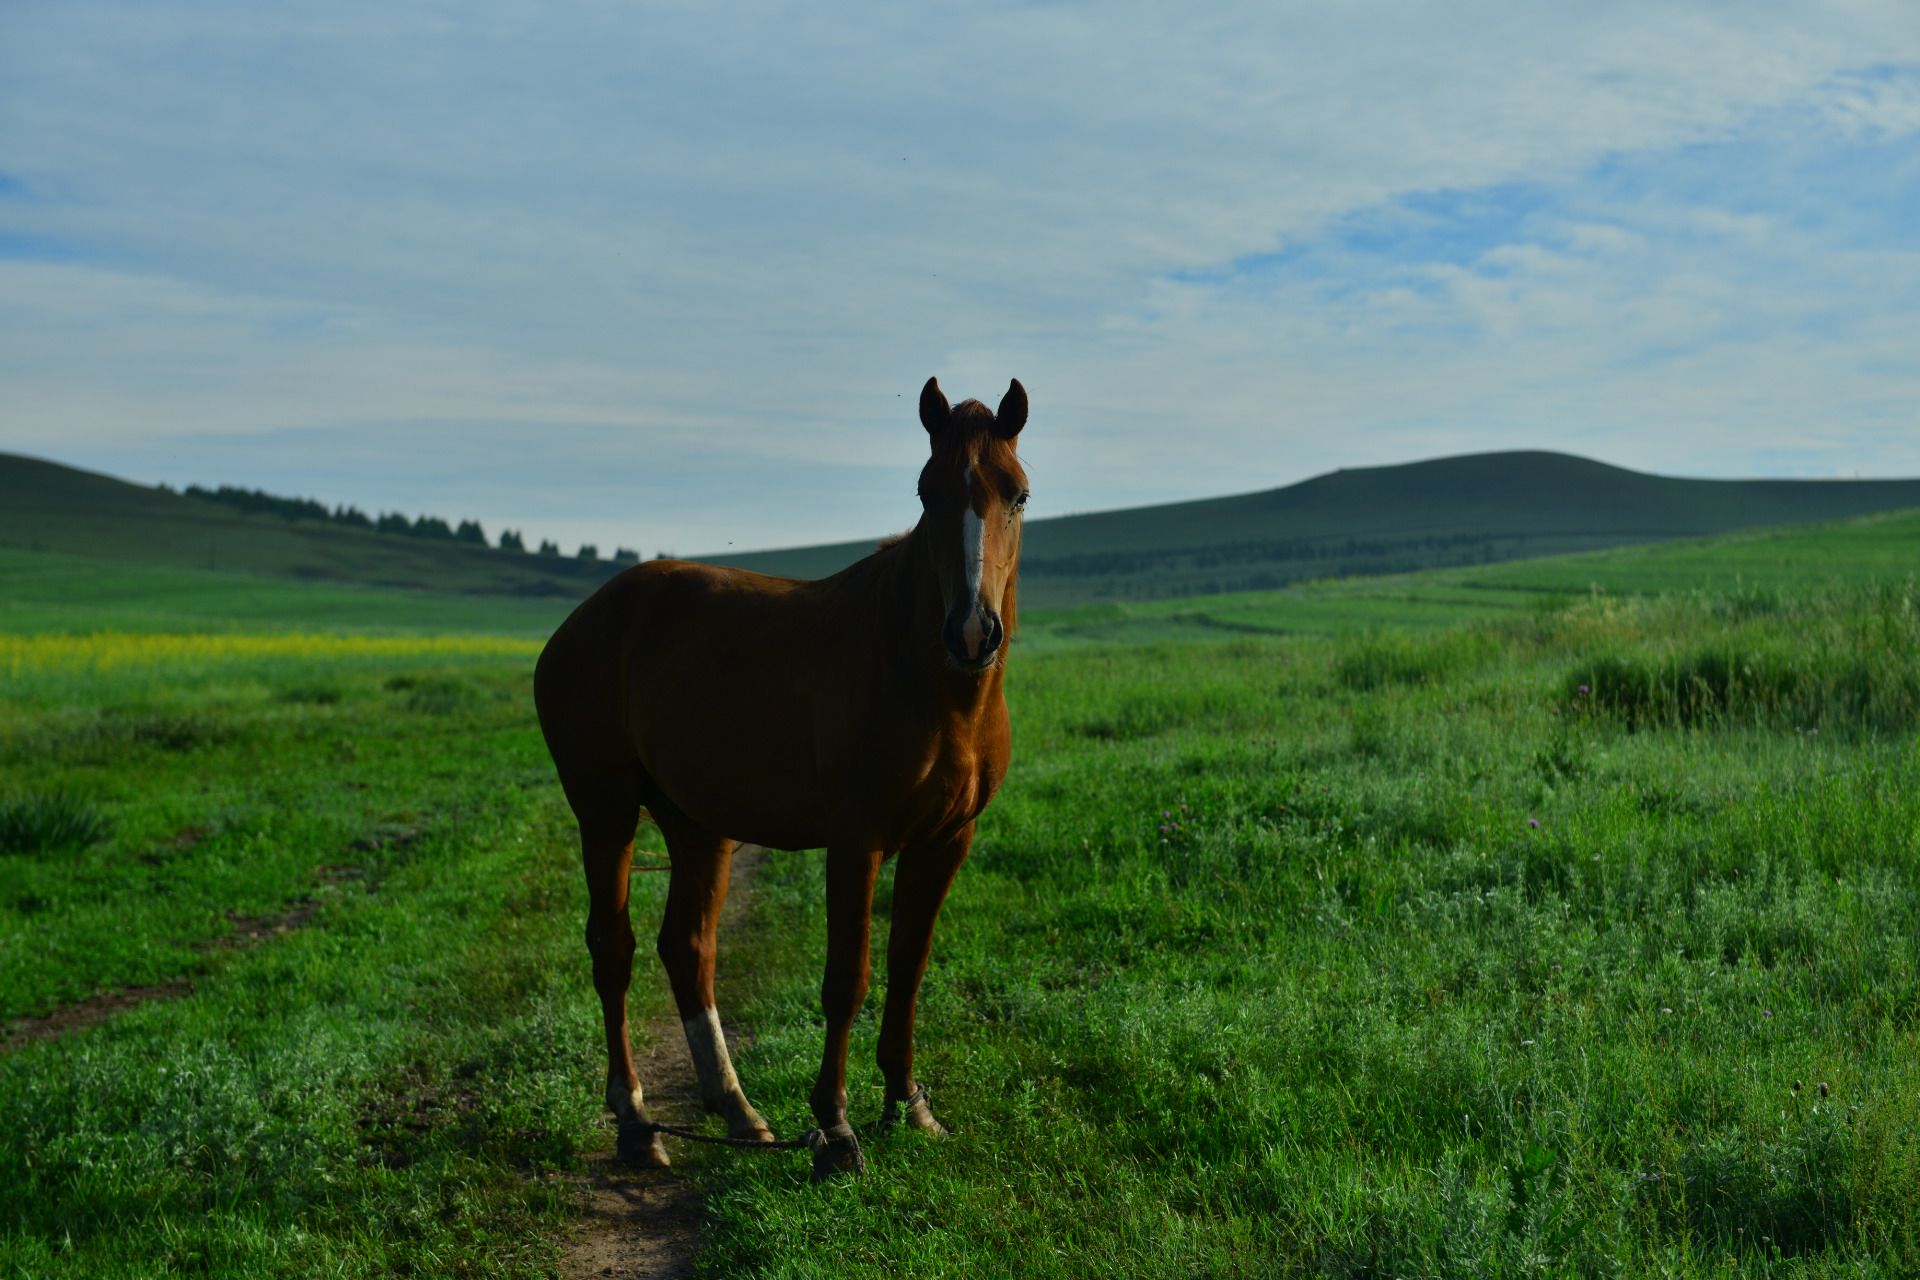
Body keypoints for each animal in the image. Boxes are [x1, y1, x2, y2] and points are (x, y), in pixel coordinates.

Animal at [533, 372, 1029, 1182]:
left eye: (1017, 494)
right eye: (928, 494)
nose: (971, 632)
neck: (929, 680)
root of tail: (588, 620)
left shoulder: (945, 841)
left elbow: (909, 967)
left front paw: (909, 1104)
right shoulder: (857, 843)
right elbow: (848, 979)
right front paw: (836, 1128)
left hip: (697, 824)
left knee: (688, 949)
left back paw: (738, 1111)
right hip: (605, 811)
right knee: (614, 950)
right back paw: (636, 1122)